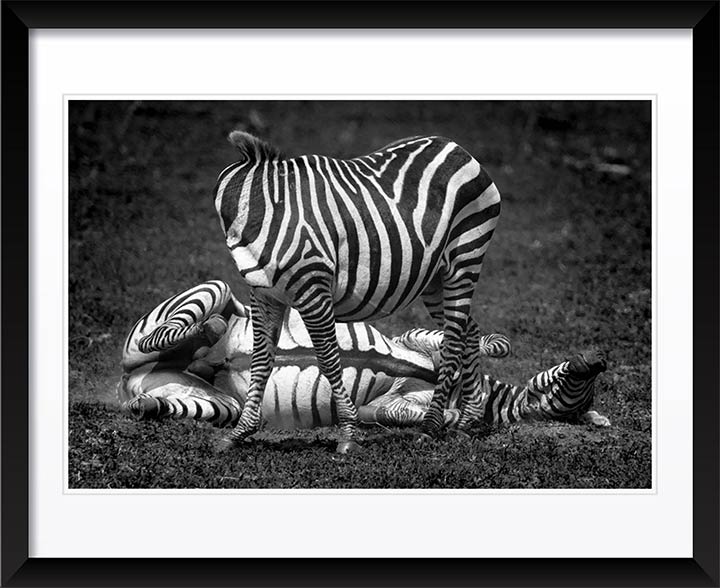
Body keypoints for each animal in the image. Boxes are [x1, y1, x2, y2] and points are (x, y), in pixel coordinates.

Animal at [119, 281, 610, 433]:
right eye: (569, 377)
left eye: (579, 388)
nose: (599, 358)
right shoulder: (415, 337)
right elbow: (471, 342)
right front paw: (491, 346)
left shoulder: (385, 408)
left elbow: (413, 414)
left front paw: (458, 417)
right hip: (211, 295)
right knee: (167, 333)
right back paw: (207, 331)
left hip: (216, 403)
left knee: (162, 399)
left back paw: (151, 399)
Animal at [213, 133, 502, 452]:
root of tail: (454, 146)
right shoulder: (264, 294)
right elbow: (261, 361)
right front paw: (239, 432)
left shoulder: (314, 289)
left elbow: (328, 360)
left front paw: (349, 433)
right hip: (435, 279)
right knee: (468, 331)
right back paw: (468, 421)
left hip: (464, 259)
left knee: (452, 341)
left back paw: (430, 427)